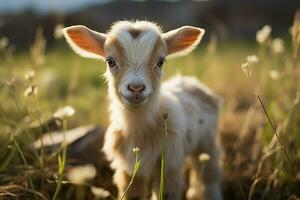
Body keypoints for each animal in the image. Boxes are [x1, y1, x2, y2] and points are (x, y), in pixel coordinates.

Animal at [63, 20, 223, 200]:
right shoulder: (128, 168)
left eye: (161, 61)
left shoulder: (169, 165)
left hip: (207, 141)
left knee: (209, 174)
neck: (139, 131)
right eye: (110, 61)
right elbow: (133, 193)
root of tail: (191, 81)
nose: (136, 88)